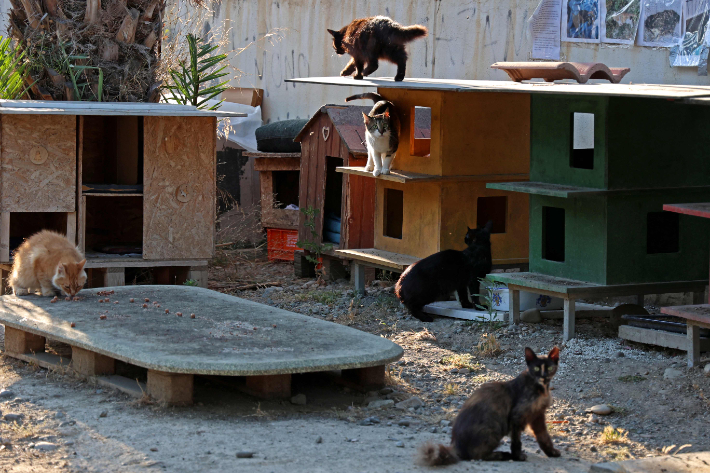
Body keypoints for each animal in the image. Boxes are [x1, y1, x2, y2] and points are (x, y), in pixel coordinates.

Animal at [418, 344, 560, 462]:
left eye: (550, 367)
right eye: (536, 368)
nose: (544, 376)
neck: (541, 389)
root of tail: (455, 445)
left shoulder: (538, 415)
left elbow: (544, 437)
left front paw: (551, 452)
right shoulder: (516, 416)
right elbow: (516, 441)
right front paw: (517, 456)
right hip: (494, 429)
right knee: (476, 455)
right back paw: (503, 455)